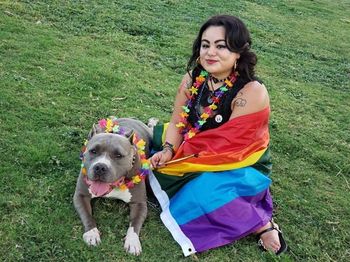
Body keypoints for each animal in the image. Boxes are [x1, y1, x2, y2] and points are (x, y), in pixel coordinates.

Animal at [73, 117, 154, 256]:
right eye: (93, 151)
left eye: (119, 155)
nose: (100, 167)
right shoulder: (80, 195)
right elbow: (87, 215)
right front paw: (91, 234)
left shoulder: (140, 203)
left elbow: (135, 224)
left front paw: (133, 242)